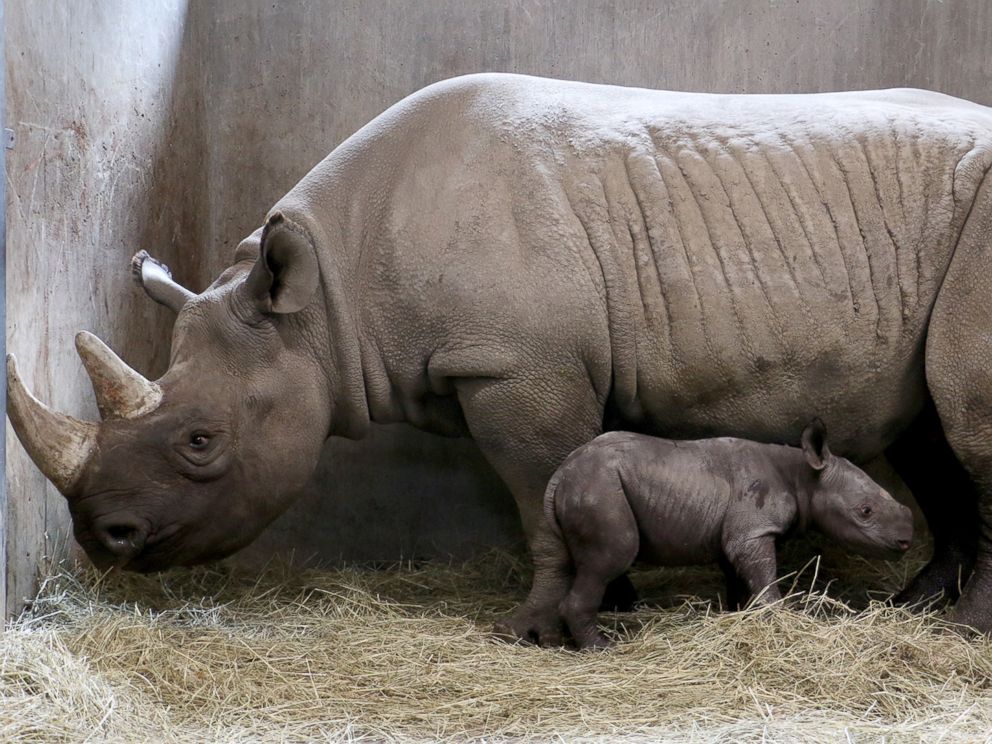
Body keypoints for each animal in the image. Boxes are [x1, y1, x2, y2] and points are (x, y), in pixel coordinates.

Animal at [552, 422, 916, 648]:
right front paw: (776, 618)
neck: (804, 476)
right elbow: (765, 578)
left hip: (586, 488)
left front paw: (740, 615)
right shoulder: (753, 529)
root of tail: (560, 474)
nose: (906, 541)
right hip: (599, 489)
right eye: (865, 511)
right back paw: (602, 648)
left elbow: (739, 577)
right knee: (612, 557)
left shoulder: (739, 532)